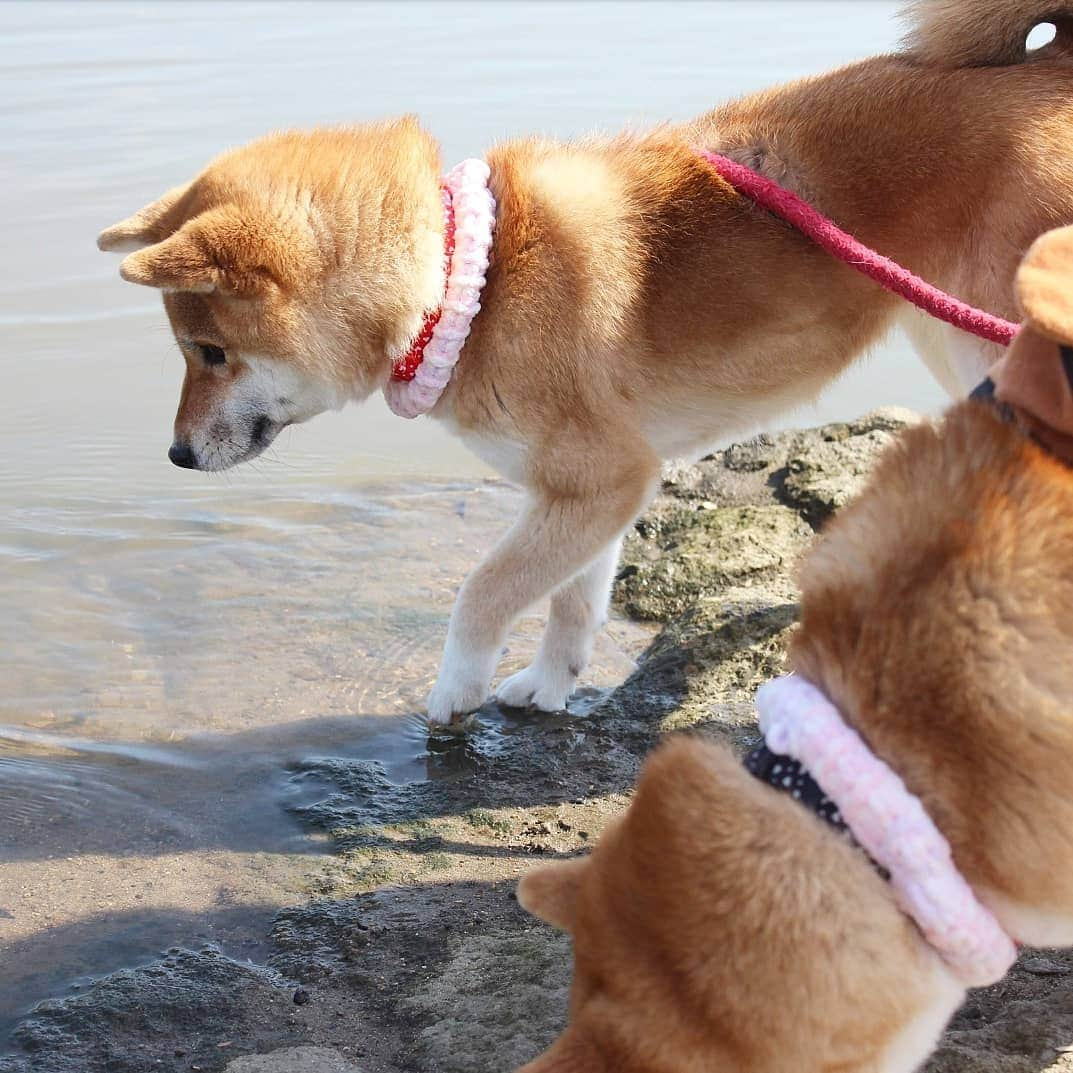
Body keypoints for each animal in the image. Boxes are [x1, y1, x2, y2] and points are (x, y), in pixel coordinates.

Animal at [98, 0, 1073, 725]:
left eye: (209, 352)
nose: (177, 454)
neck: (468, 280)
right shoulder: (597, 488)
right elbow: (573, 599)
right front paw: (549, 683)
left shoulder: (599, 480)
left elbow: (484, 590)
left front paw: (454, 688)